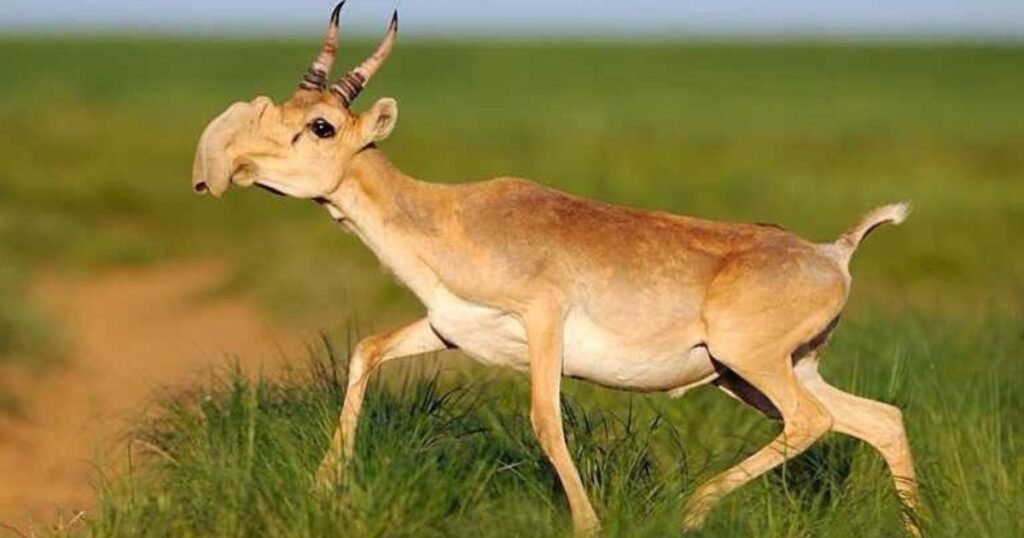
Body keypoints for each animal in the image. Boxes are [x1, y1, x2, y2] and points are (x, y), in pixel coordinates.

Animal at [191, 3, 921, 535]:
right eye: (283, 109)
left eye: (320, 126)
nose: (230, 165)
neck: (449, 215)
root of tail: (833, 253)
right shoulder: (448, 329)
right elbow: (366, 350)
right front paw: (325, 488)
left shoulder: (544, 322)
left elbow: (546, 420)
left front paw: (589, 524)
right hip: (762, 373)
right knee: (880, 419)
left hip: (751, 365)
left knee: (814, 422)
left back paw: (692, 507)